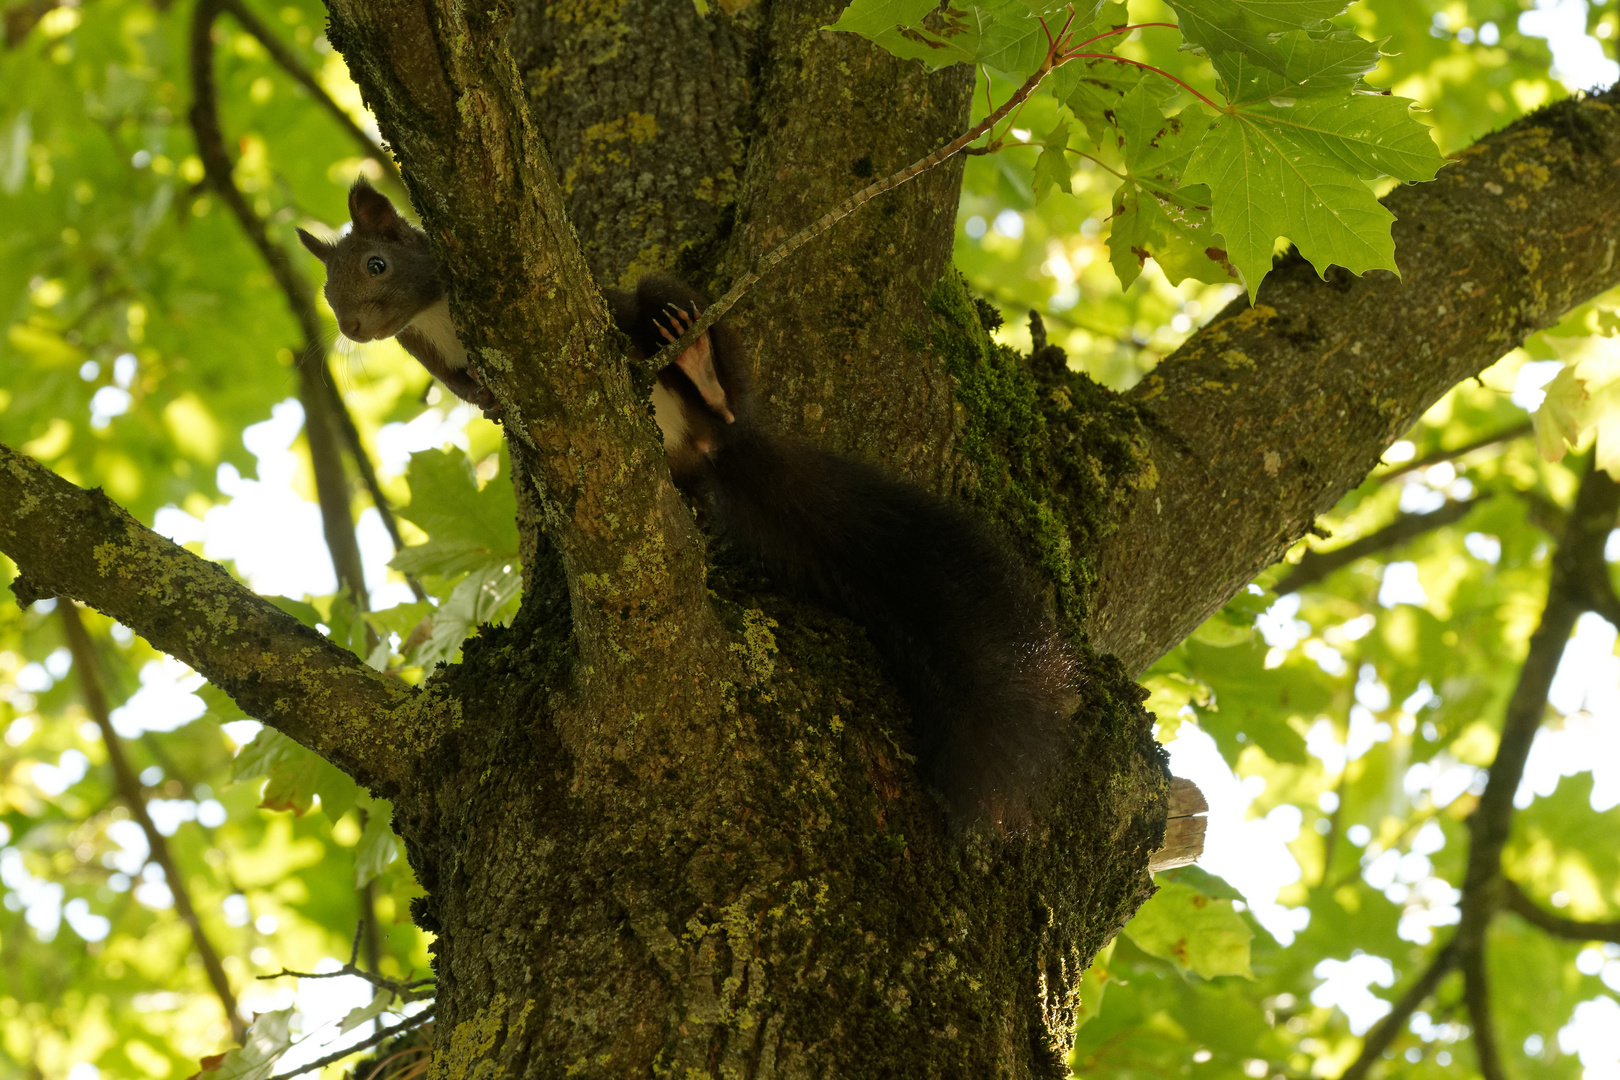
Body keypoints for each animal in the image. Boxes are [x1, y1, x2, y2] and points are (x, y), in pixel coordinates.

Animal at [298, 177, 1082, 829]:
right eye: (327, 290)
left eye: (375, 265)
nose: (352, 329)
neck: (432, 313)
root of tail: (708, 445)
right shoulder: (436, 361)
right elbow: (469, 390)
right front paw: (492, 403)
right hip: (676, 467)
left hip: (675, 316)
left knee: (708, 373)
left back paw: (698, 365)